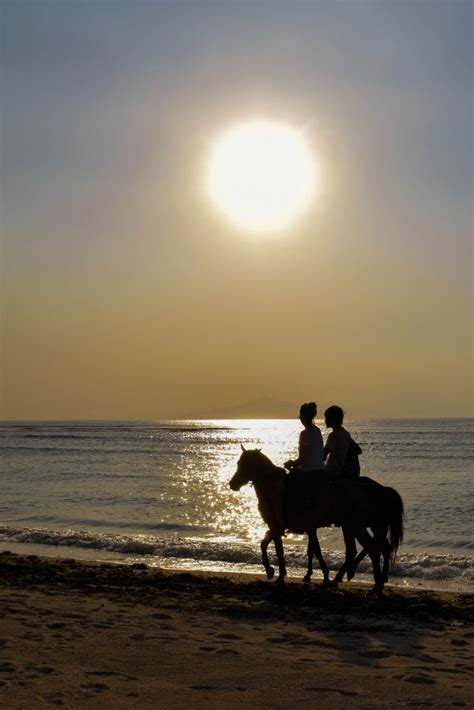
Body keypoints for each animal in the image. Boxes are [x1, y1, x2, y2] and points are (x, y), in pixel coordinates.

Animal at [230, 450, 404, 596]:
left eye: (242, 464)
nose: (232, 484)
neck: (270, 486)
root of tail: (373, 489)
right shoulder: (299, 528)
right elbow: (310, 549)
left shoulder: (277, 526)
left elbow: (274, 548)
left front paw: (274, 572)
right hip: (361, 526)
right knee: (372, 549)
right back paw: (352, 579)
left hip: (356, 526)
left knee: (371, 549)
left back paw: (374, 584)